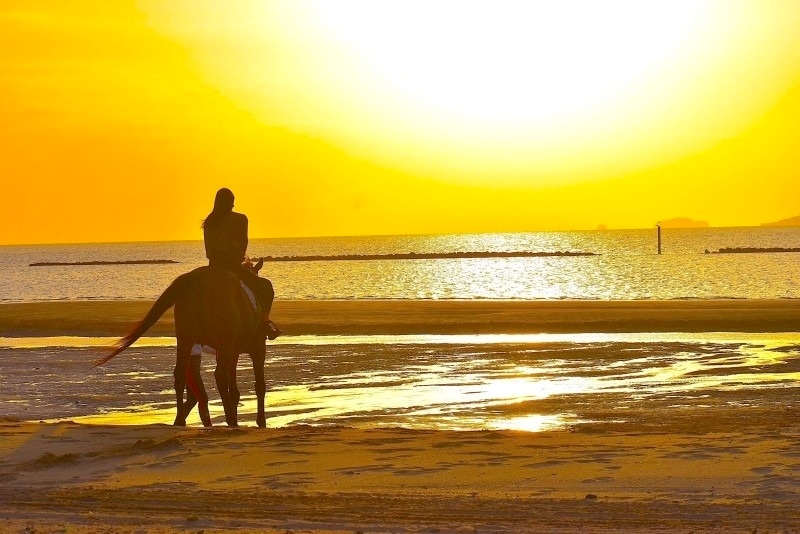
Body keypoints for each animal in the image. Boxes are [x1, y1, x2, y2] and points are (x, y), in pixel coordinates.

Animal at [93, 266, 276, 430]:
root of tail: (196, 278)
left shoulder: (233, 351)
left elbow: (235, 390)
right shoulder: (256, 349)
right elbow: (259, 385)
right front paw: (261, 421)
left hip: (186, 340)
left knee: (180, 374)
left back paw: (181, 419)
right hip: (222, 344)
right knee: (219, 376)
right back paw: (230, 420)